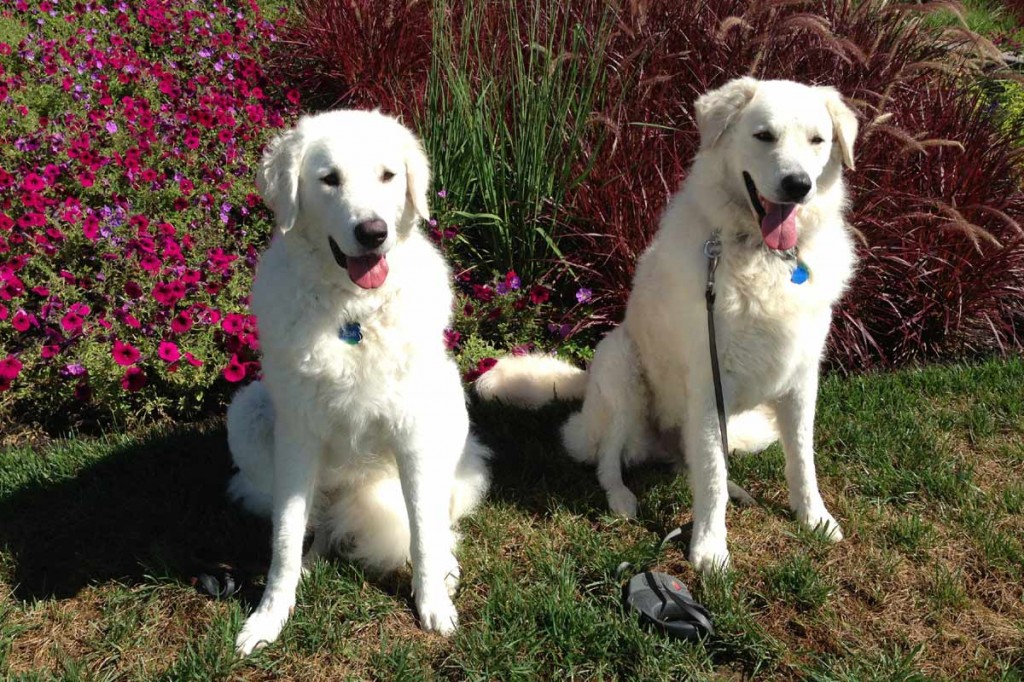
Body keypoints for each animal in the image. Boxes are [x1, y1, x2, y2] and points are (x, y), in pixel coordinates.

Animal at [228, 109, 491, 651]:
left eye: (388, 176)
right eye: (329, 179)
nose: (373, 232)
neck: (352, 315)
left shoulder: (414, 435)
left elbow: (423, 532)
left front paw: (433, 603)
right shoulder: (297, 438)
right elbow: (285, 535)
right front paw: (269, 615)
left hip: (449, 408)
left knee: (435, 520)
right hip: (247, 413)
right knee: (318, 522)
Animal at [475, 76, 860, 569]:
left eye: (817, 141)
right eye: (764, 136)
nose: (798, 185)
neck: (764, 256)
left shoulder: (801, 381)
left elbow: (800, 459)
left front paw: (815, 518)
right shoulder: (711, 382)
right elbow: (710, 478)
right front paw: (710, 548)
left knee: (690, 461)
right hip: (622, 369)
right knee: (607, 457)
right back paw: (621, 499)